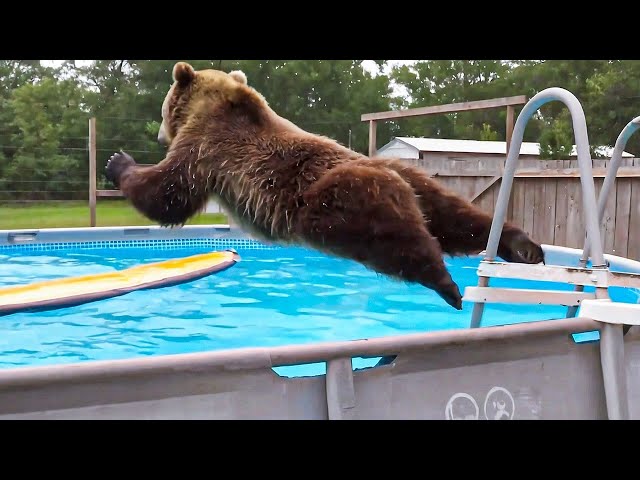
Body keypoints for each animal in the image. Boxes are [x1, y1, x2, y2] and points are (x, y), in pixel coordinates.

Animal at [105, 61, 544, 310]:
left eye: (165, 106)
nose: (159, 133)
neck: (218, 104)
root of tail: (397, 177)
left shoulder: (206, 148)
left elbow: (168, 192)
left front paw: (118, 164)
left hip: (338, 201)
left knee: (396, 241)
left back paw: (447, 285)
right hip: (420, 185)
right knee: (457, 218)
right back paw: (521, 245)